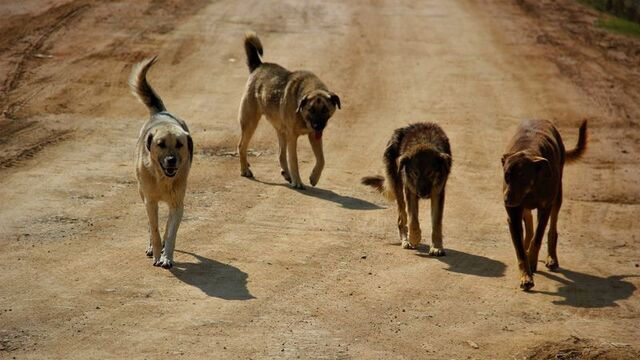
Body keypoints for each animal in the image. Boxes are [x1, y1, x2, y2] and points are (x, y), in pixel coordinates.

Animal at [129, 56, 191, 268]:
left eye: (180, 144)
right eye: (160, 144)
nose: (171, 161)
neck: (163, 178)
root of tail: (162, 113)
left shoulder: (177, 205)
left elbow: (170, 233)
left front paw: (167, 257)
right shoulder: (150, 202)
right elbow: (154, 229)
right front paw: (156, 254)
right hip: (142, 193)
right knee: (151, 225)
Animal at [238, 31, 342, 188]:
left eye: (325, 110)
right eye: (311, 109)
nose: (317, 126)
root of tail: (258, 66)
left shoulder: (314, 136)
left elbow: (321, 159)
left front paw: (314, 177)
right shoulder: (293, 137)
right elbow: (294, 160)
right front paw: (298, 181)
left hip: (281, 130)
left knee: (281, 153)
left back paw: (286, 173)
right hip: (250, 122)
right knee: (241, 146)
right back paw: (245, 169)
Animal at [362, 124, 452, 256]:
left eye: (430, 173)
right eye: (415, 173)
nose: (423, 194)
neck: (424, 140)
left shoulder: (438, 193)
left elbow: (436, 224)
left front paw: (436, 247)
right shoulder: (410, 191)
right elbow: (413, 220)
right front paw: (414, 238)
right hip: (400, 190)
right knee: (402, 219)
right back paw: (406, 241)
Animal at [502, 119, 588, 292]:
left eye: (522, 175)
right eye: (506, 175)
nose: (506, 200)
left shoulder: (545, 207)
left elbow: (538, 236)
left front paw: (532, 261)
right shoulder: (513, 214)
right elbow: (520, 249)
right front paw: (526, 275)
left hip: (557, 197)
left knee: (551, 228)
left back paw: (551, 257)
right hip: (523, 207)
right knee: (528, 226)